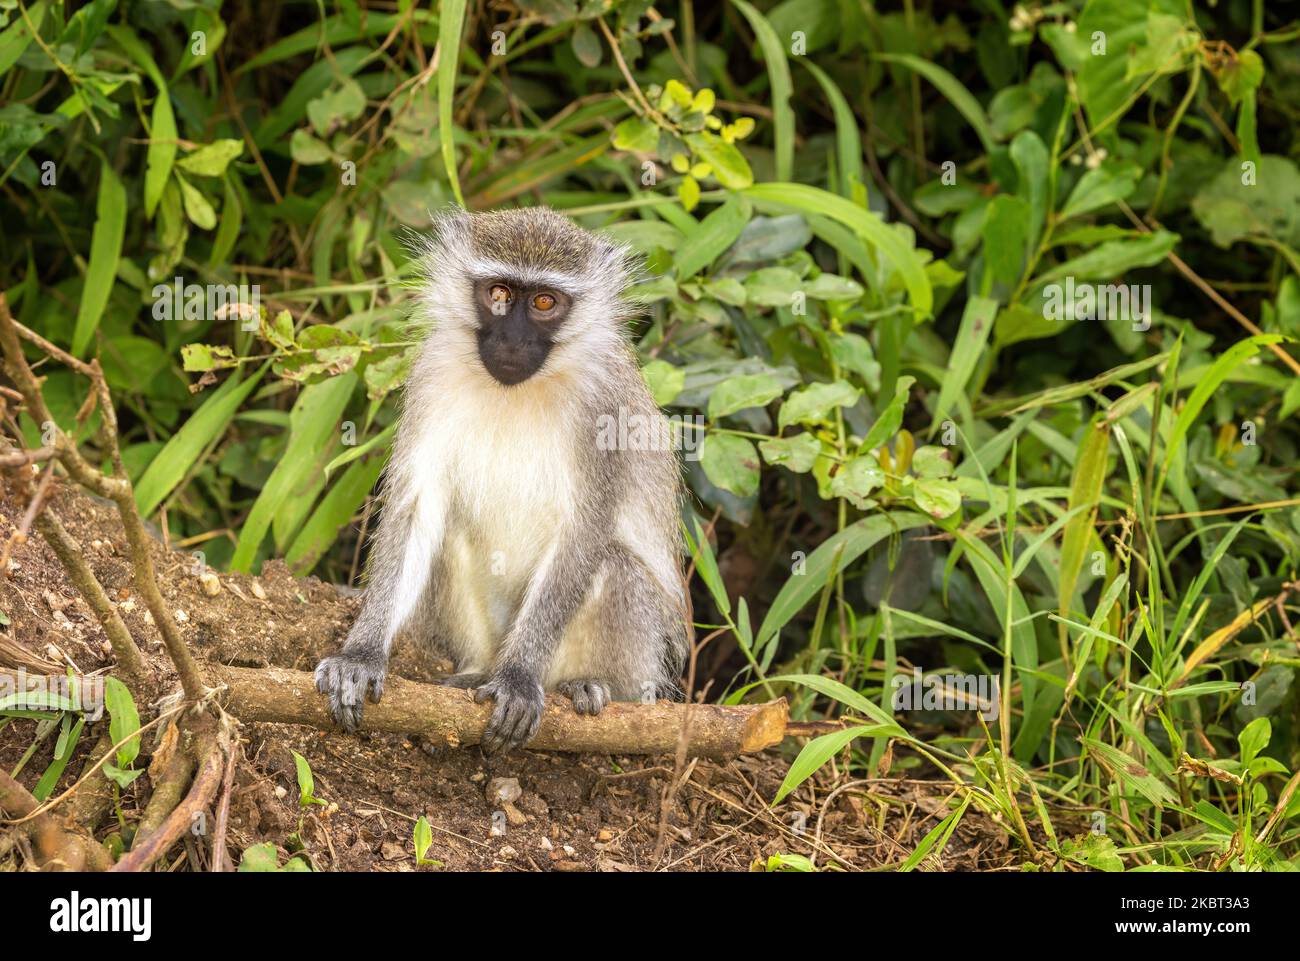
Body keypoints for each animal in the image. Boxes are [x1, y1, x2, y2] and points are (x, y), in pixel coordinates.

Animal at [314, 207, 688, 753]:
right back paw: (474, 673)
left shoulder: (605, 406)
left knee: (616, 566)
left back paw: (589, 685)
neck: (519, 390)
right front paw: (360, 655)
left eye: (545, 301)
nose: (512, 339)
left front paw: (517, 679)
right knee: (449, 534)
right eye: (498, 293)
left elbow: (585, 530)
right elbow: (418, 506)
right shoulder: (431, 377)